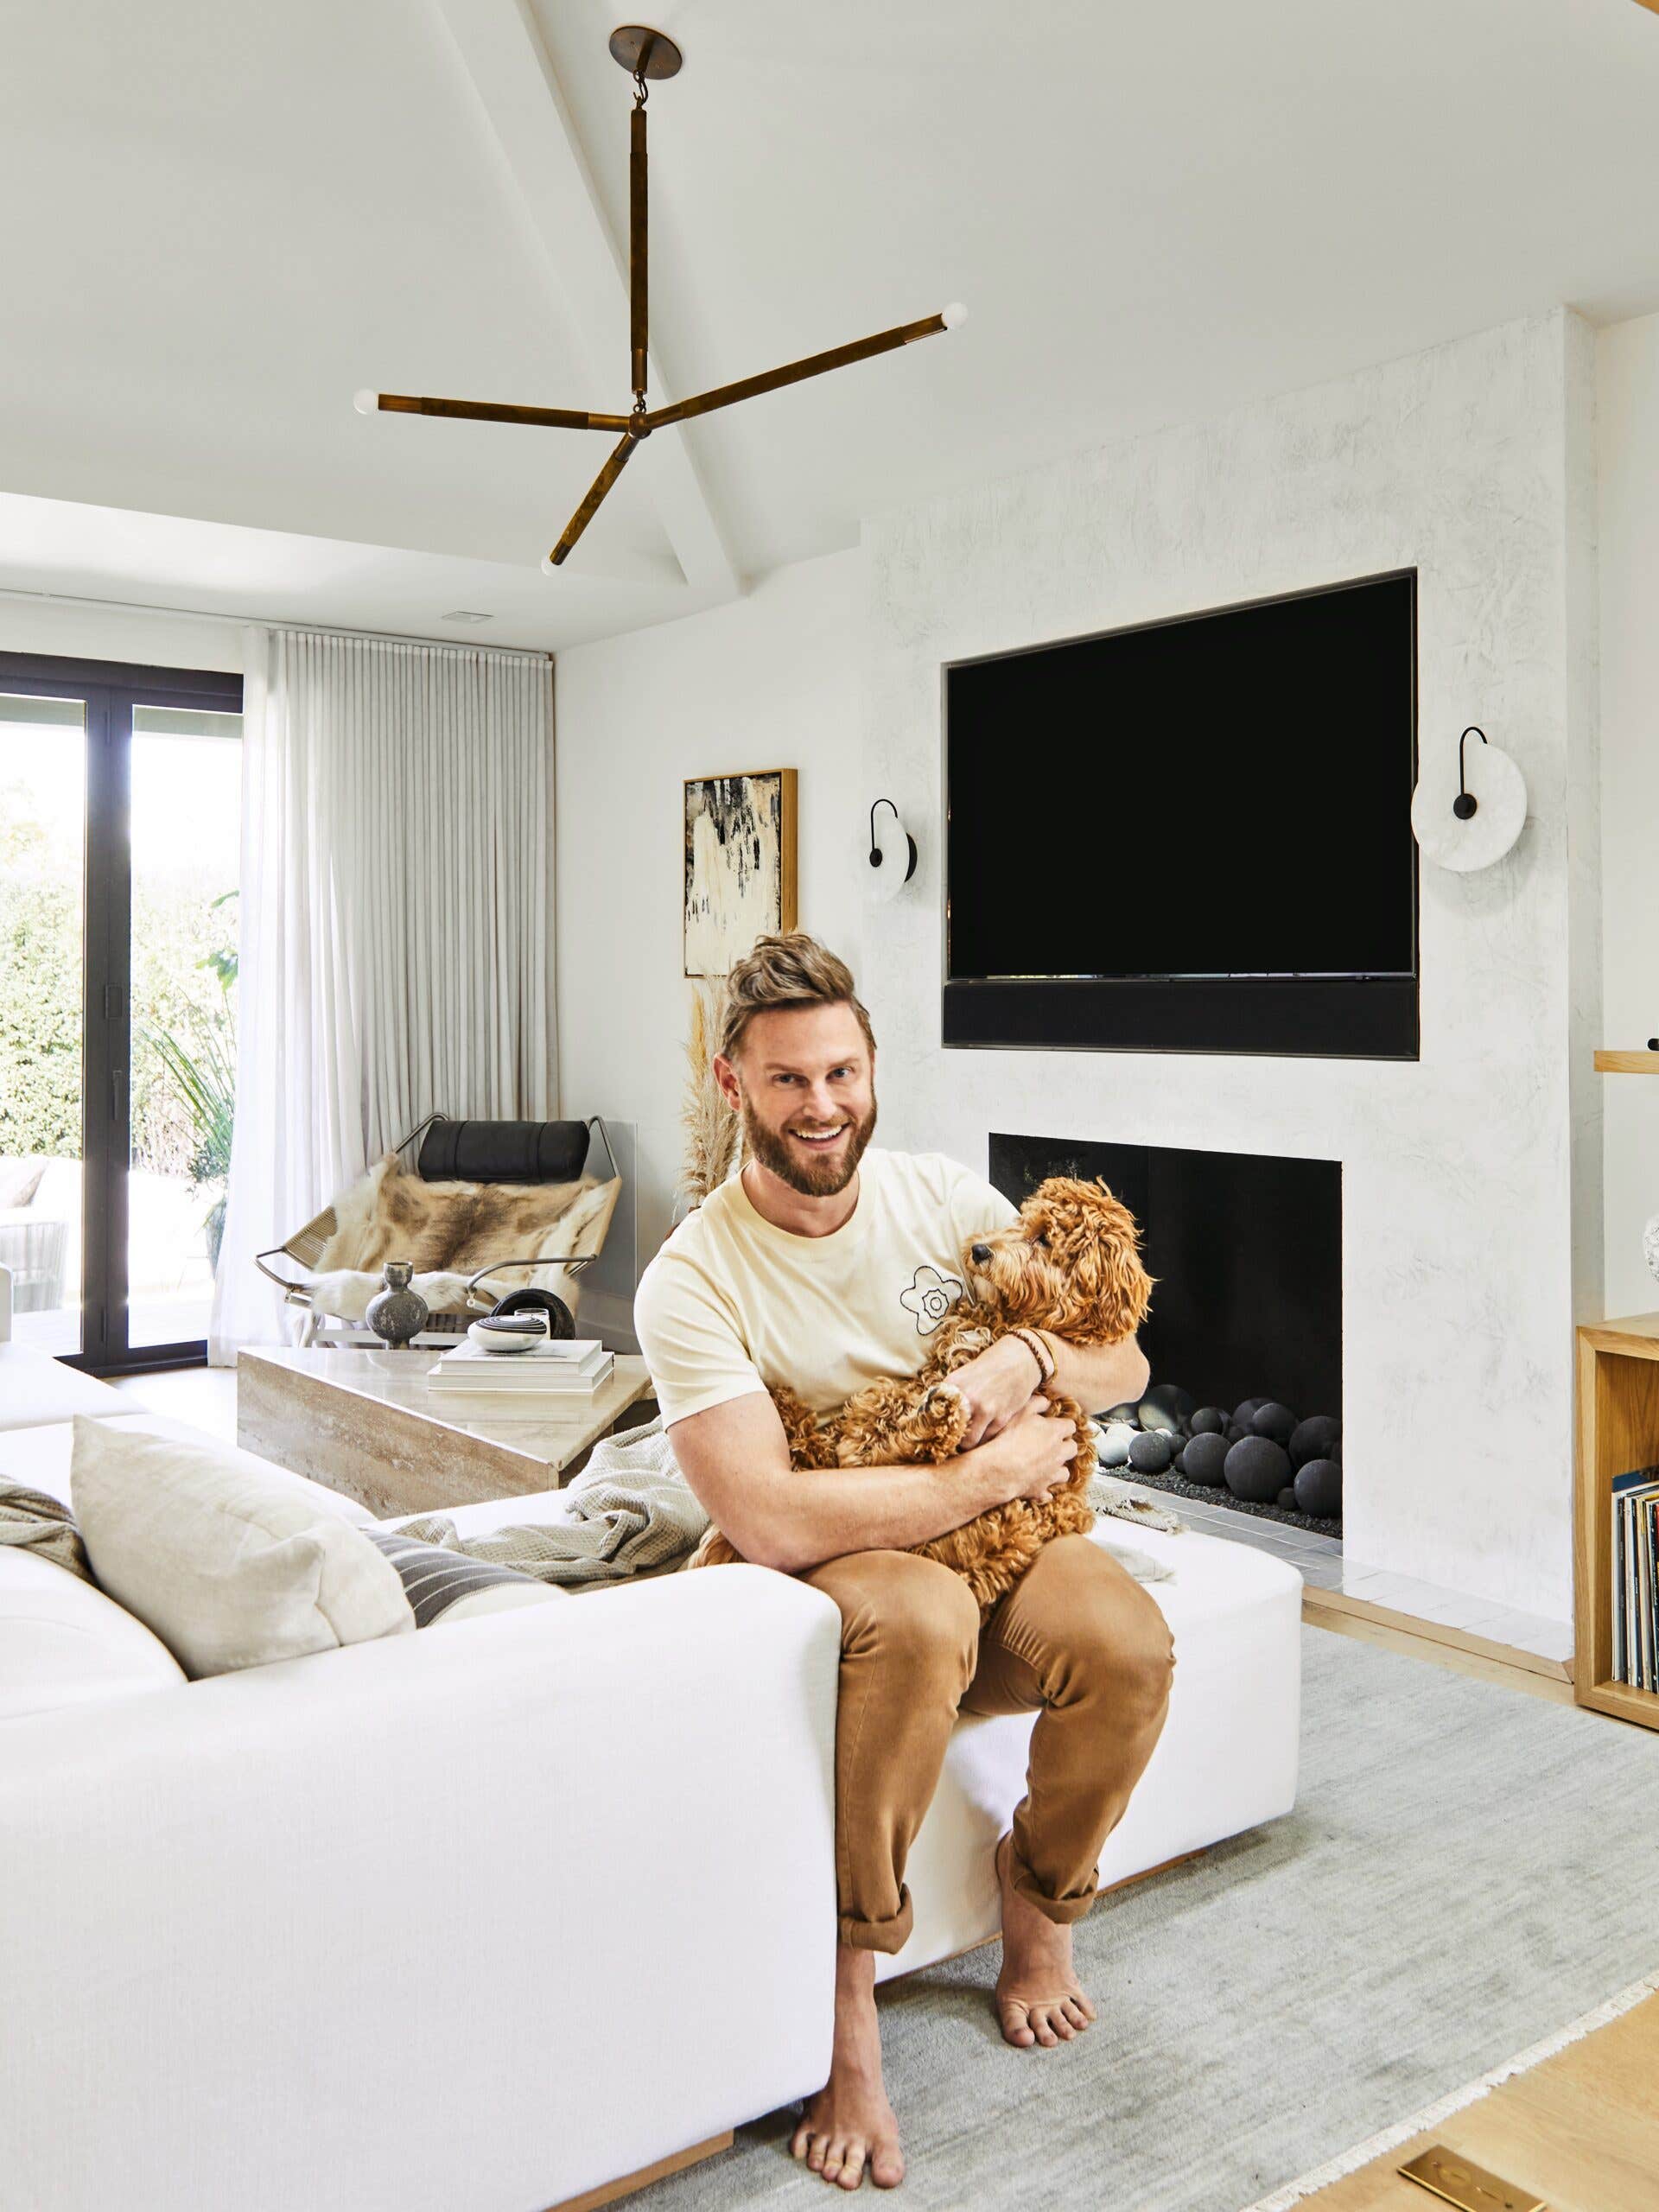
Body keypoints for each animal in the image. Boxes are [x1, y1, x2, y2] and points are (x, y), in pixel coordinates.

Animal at [694, 1185, 1150, 1618]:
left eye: (1043, 1239)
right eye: (1020, 1221)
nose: (980, 1250)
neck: (1009, 1318)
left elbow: (878, 1436)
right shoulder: (939, 1371)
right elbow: (880, 1417)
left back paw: (923, 1418)